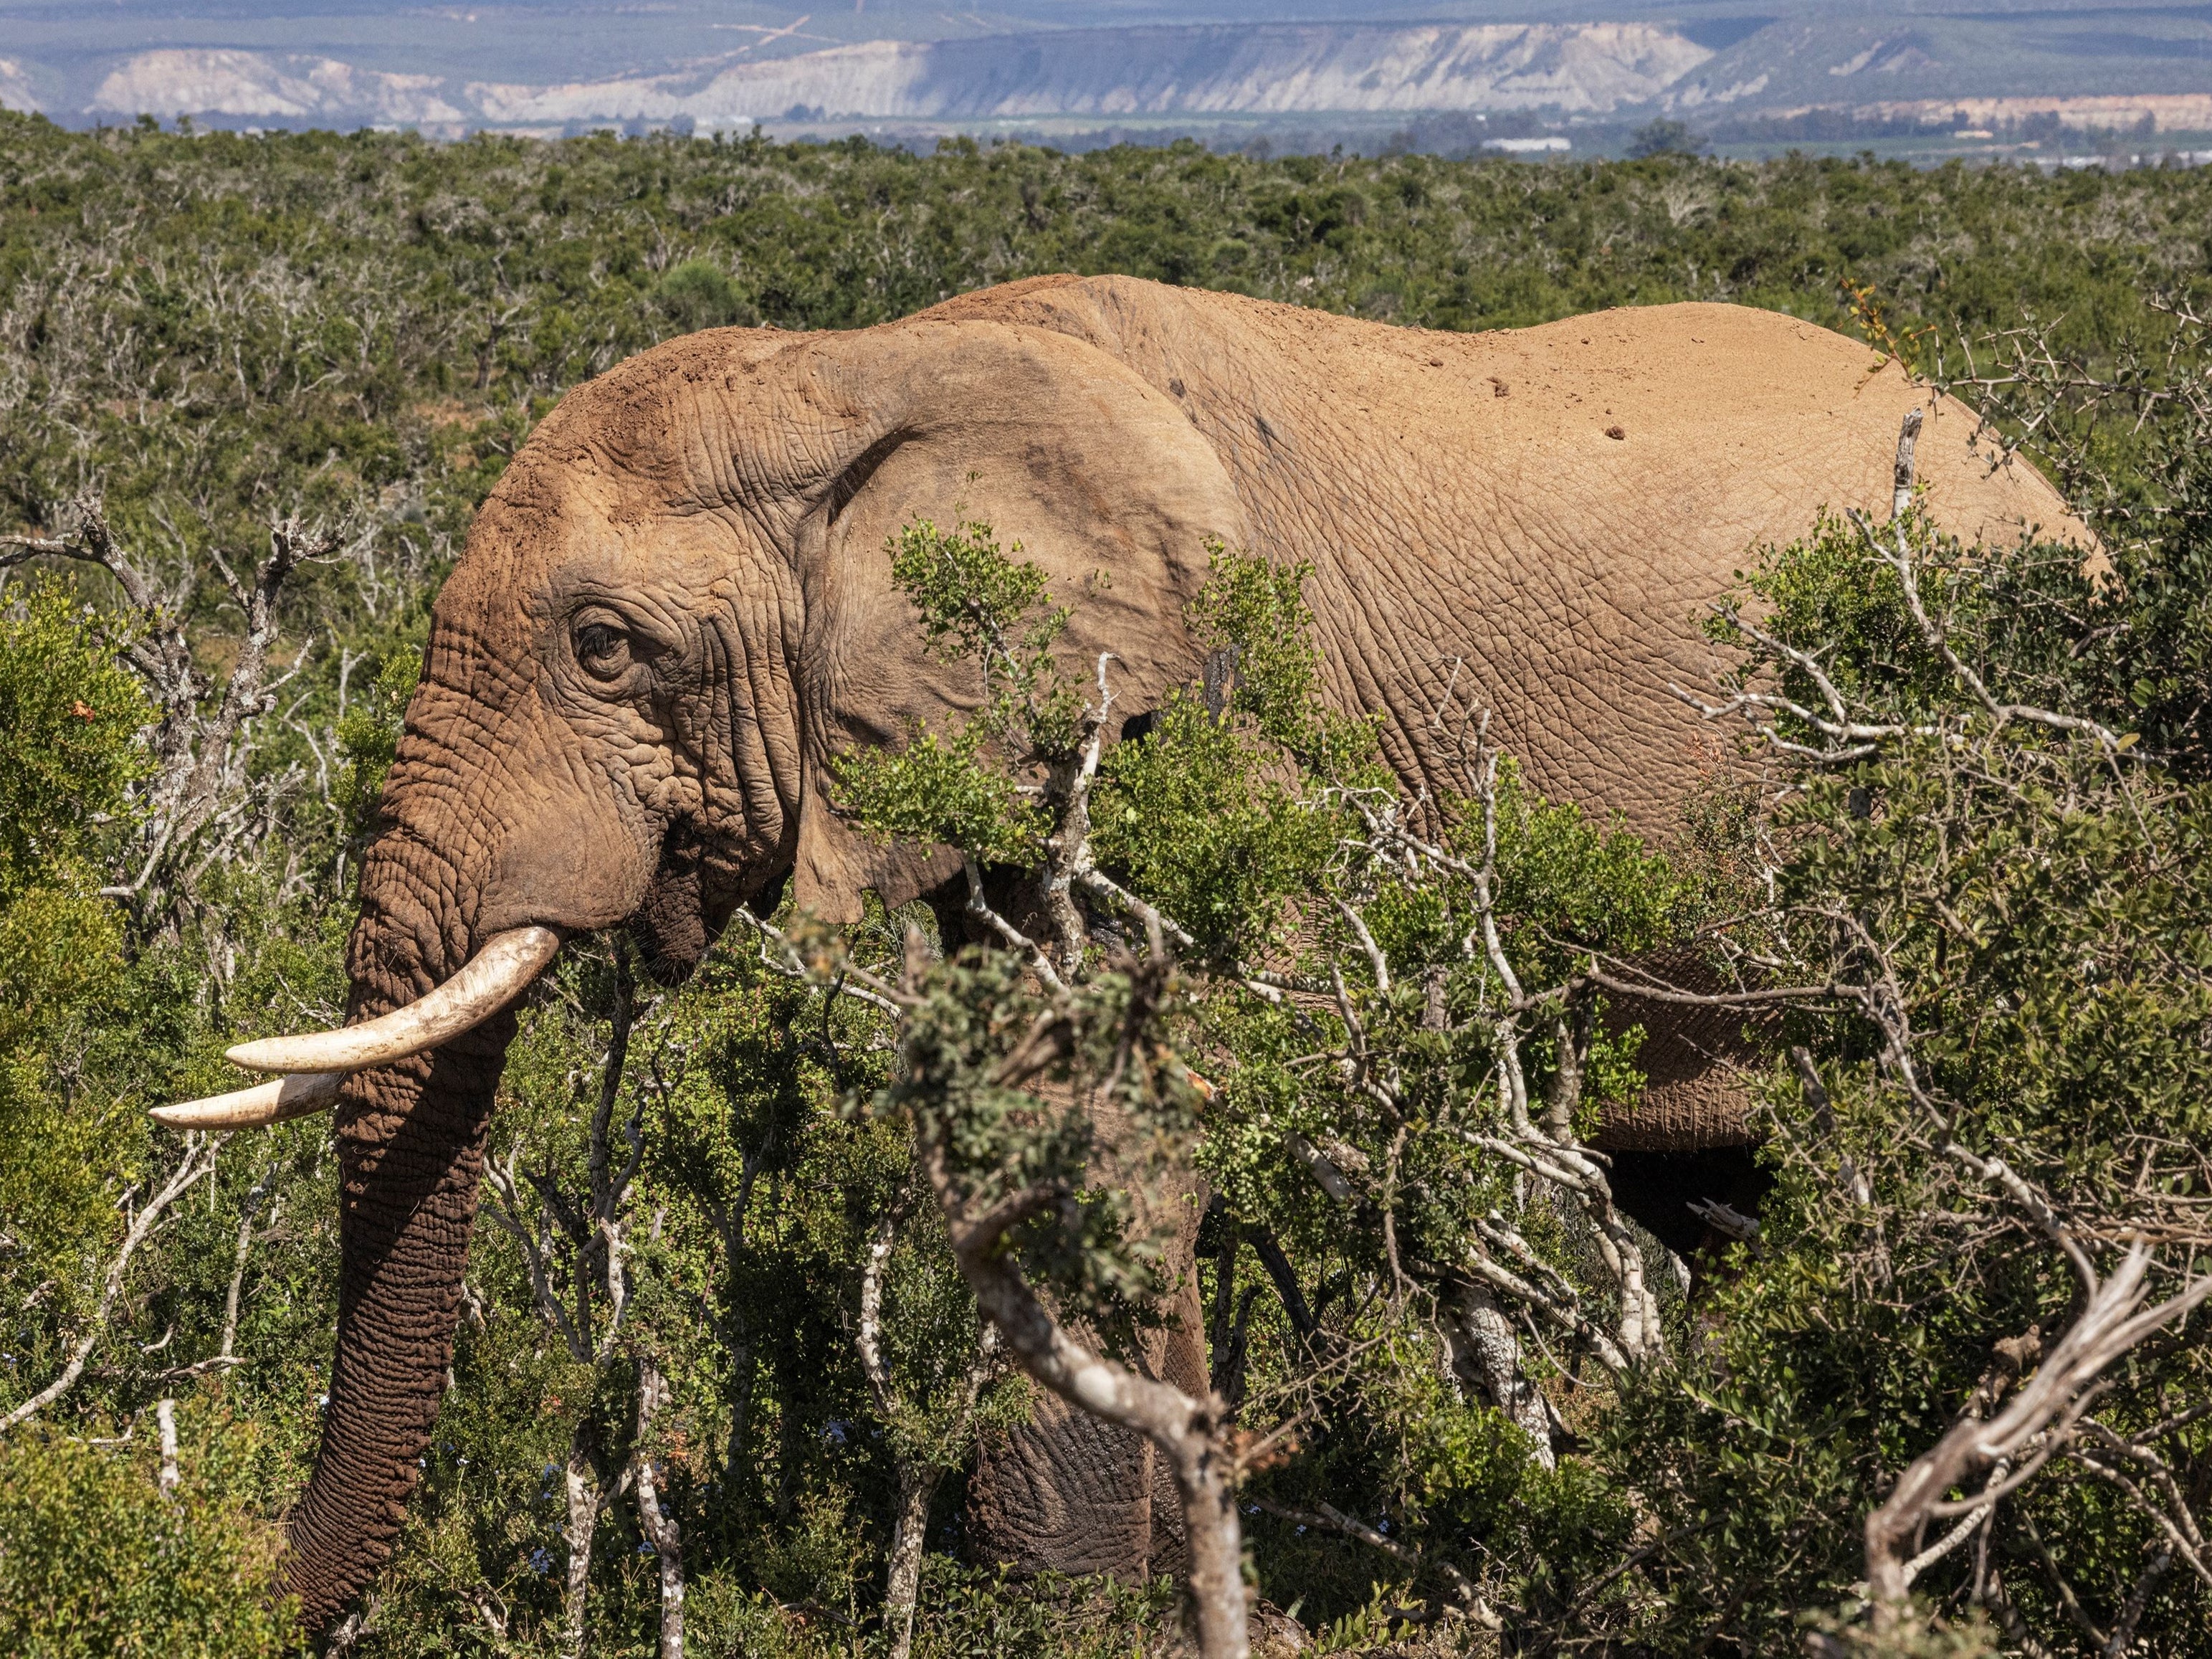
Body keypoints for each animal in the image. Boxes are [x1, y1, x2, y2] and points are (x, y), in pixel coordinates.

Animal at [156, 273, 2080, 1633]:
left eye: (606, 646)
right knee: (1726, 1194)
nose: (222, 1570)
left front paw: (1077, 1609)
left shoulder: (1220, 711)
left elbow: (1116, 1103)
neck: (876, 368)